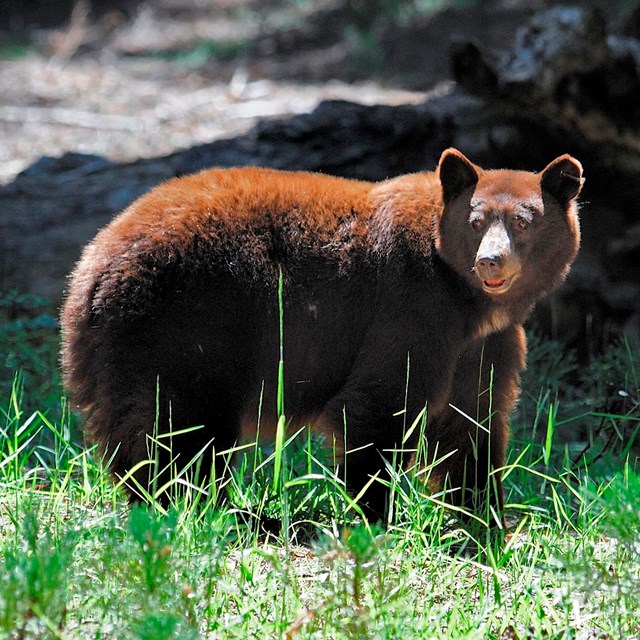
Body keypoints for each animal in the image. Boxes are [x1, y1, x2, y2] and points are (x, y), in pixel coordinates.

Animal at [61, 148, 583, 523]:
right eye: (476, 222)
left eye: (522, 221)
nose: (490, 261)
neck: (467, 300)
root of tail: (89, 269)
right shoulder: (411, 311)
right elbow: (380, 405)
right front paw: (374, 514)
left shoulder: (483, 343)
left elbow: (472, 422)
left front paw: (488, 519)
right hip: (185, 327)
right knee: (179, 430)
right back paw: (210, 509)